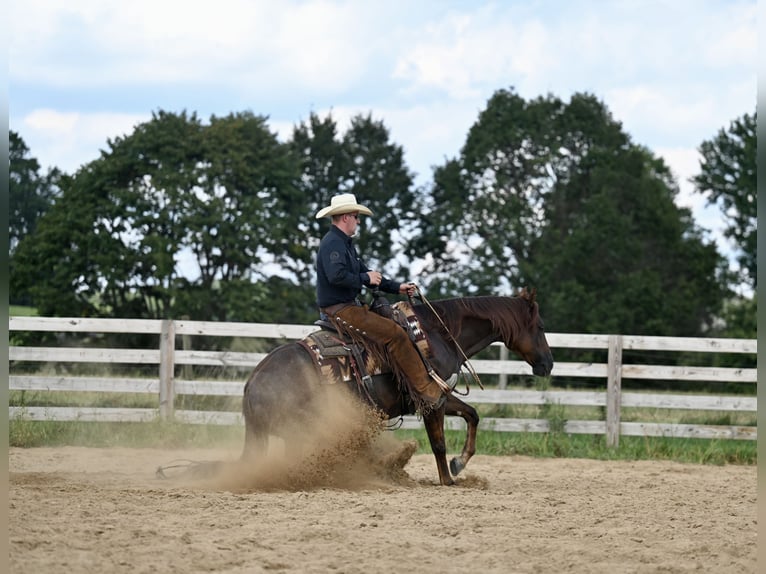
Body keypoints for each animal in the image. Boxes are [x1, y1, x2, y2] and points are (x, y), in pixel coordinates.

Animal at [241, 288, 554, 486]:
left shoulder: (440, 396)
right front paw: (447, 479)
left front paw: (459, 463)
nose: (548, 364)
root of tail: (252, 384)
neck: (438, 335)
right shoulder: (432, 401)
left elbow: (472, 415)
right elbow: (439, 443)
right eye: (539, 326)